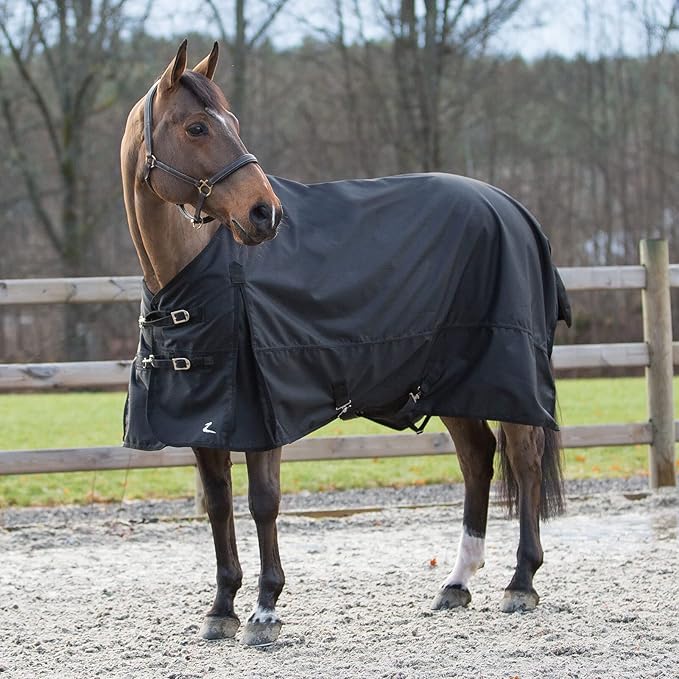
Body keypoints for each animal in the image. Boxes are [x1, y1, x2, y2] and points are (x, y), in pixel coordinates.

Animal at [120, 40, 567, 646]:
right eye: (196, 127)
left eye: (231, 122)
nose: (265, 213)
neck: (197, 270)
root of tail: (513, 208)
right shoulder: (206, 422)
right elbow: (217, 506)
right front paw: (222, 609)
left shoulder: (263, 415)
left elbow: (263, 503)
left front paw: (265, 611)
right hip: (454, 384)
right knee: (478, 460)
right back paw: (456, 583)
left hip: (507, 376)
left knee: (523, 459)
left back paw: (520, 582)